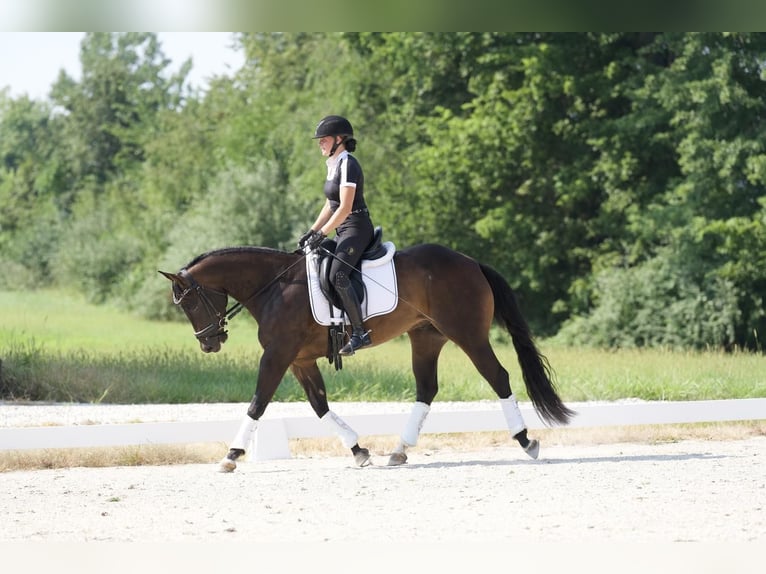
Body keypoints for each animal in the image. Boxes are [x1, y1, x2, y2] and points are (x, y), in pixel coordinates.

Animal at [159, 238, 572, 472]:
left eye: (189, 302)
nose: (208, 343)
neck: (274, 287)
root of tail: (471, 262)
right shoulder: (299, 360)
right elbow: (320, 406)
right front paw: (359, 451)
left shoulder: (278, 355)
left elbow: (258, 403)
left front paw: (231, 455)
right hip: (426, 337)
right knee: (426, 389)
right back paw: (399, 451)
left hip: (467, 334)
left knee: (498, 377)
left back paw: (526, 441)